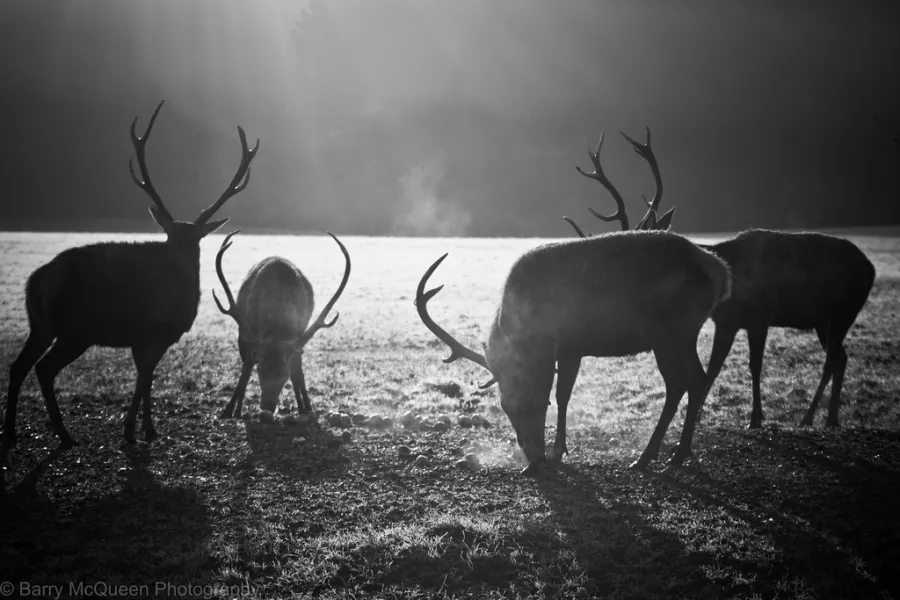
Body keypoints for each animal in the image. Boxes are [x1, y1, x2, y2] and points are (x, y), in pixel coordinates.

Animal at [2, 100, 259, 448]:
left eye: (188, 239)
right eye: (174, 238)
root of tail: (38, 280)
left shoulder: (142, 338)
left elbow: (144, 378)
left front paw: (143, 429)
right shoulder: (156, 332)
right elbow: (145, 377)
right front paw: (135, 430)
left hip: (41, 324)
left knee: (18, 366)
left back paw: (11, 432)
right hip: (75, 330)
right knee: (43, 368)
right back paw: (65, 435)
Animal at [213, 230, 351, 419]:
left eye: (283, 376)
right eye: (260, 371)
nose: (267, 407)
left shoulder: (297, 334)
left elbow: (297, 372)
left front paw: (306, 408)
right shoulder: (248, 332)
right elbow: (246, 369)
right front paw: (228, 410)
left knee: (297, 369)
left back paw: (304, 407)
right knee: (245, 367)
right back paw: (237, 409)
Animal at [416, 227, 732, 474]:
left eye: (530, 404)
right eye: (505, 407)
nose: (533, 462)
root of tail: (719, 271)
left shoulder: (549, 347)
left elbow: (556, 393)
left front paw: (551, 454)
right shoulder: (570, 350)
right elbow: (563, 395)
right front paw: (558, 452)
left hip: (671, 333)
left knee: (686, 381)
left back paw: (663, 456)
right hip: (678, 336)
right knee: (690, 381)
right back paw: (665, 454)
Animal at [566, 130, 876, 429]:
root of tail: (871, 268)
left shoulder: (759, 316)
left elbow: (754, 365)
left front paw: (755, 418)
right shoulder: (726, 321)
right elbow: (714, 367)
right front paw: (698, 417)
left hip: (845, 311)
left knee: (832, 359)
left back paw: (813, 417)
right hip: (825, 319)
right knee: (840, 358)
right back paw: (827, 417)